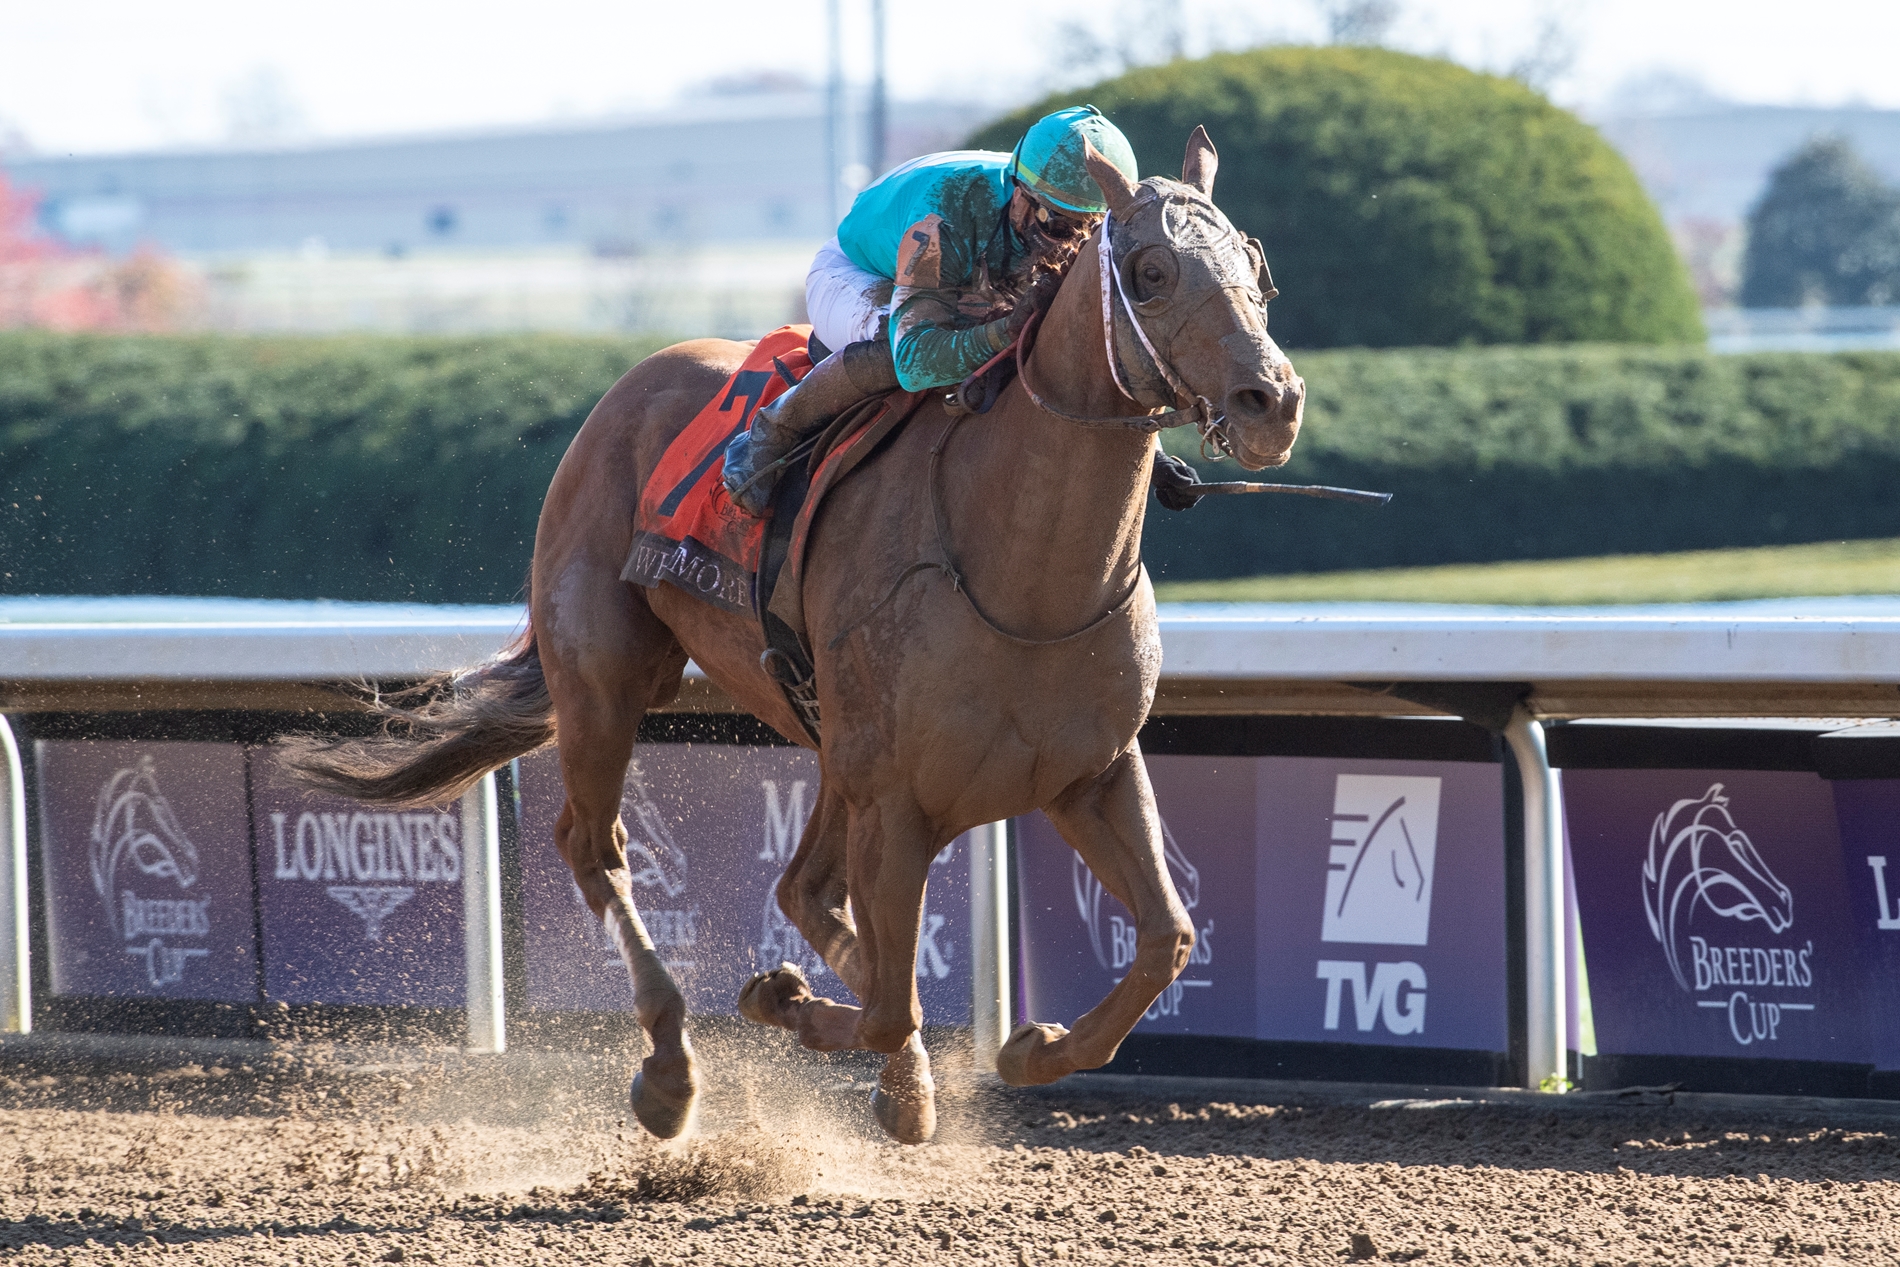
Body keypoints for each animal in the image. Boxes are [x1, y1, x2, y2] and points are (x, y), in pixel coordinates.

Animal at [285, 131, 1307, 1147]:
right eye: (1150, 271)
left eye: (1257, 265)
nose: (1273, 399)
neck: (1024, 577)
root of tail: (631, 383)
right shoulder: (897, 796)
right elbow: (891, 1000)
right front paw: (798, 1010)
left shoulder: (1087, 771)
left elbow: (1165, 939)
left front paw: (1026, 1046)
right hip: (608, 677)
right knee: (597, 844)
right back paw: (670, 1067)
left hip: (829, 743)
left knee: (801, 889)